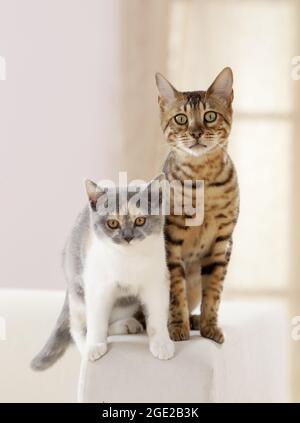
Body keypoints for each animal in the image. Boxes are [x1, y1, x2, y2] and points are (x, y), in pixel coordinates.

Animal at [31, 174, 173, 370]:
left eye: (140, 220)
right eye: (112, 223)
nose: (127, 237)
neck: (128, 260)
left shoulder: (156, 282)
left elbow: (157, 315)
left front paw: (161, 344)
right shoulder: (97, 286)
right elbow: (97, 320)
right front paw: (94, 346)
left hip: (126, 303)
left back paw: (127, 325)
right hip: (78, 291)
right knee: (78, 326)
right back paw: (88, 343)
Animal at [157, 67, 239, 344]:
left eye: (210, 116)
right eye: (181, 119)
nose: (195, 132)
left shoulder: (223, 241)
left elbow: (213, 292)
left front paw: (209, 326)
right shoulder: (170, 239)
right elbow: (175, 291)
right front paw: (177, 327)